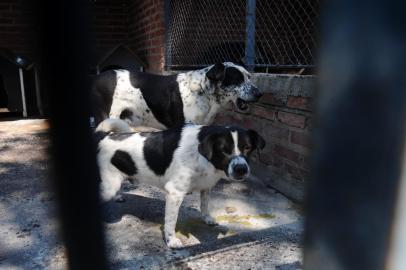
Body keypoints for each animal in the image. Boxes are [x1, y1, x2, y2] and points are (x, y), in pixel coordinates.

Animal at [91, 62, 264, 129]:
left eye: (249, 77)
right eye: (237, 79)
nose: (260, 94)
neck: (203, 91)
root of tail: (96, 77)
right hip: (106, 118)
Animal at [96, 119, 264, 248]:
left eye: (247, 148)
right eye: (224, 150)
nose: (241, 169)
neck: (201, 154)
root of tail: (103, 136)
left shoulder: (206, 186)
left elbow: (204, 205)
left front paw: (207, 218)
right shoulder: (175, 193)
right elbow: (171, 221)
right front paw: (171, 241)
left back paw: (118, 196)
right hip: (108, 187)